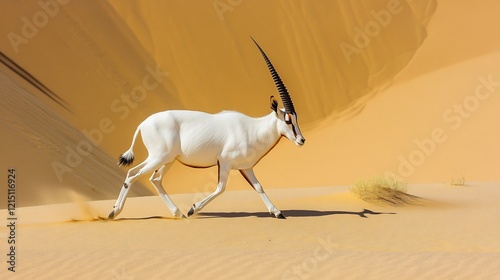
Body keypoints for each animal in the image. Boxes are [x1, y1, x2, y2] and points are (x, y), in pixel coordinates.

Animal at [107, 38, 306, 220]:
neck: (252, 129)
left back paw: (177, 213)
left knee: (152, 178)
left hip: (167, 159)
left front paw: (278, 212)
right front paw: (193, 208)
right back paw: (114, 213)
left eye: (296, 118)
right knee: (133, 174)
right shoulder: (224, 162)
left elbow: (258, 186)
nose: (301, 140)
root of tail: (143, 124)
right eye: (287, 120)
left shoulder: (246, 167)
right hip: (159, 157)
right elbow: (221, 188)